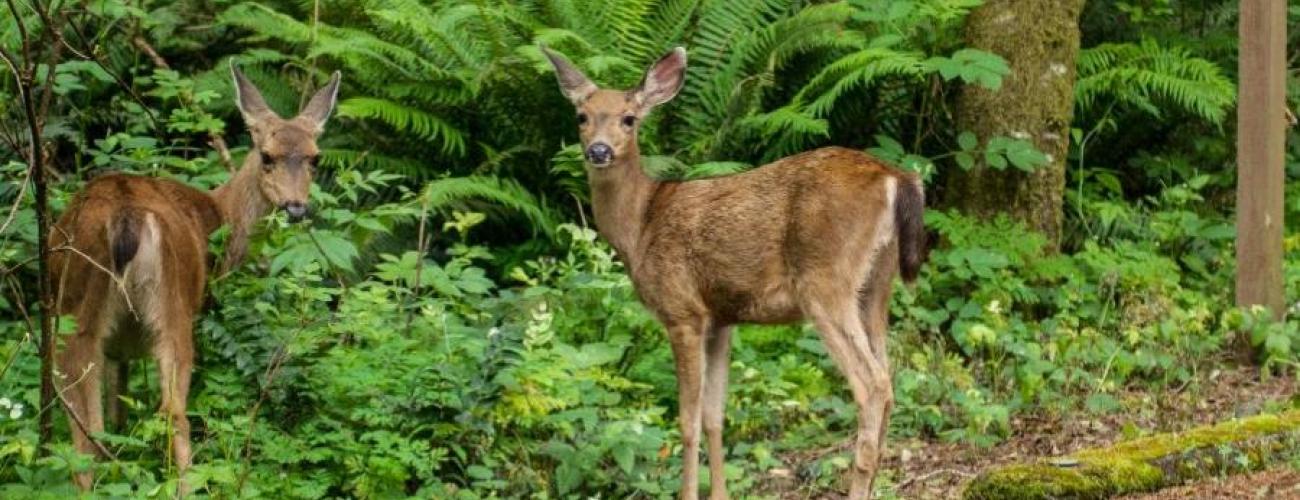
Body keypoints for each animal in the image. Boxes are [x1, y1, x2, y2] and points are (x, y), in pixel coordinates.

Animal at [49, 63, 340, 490]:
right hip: (173, 305)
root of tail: (125, 218)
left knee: (85, 427)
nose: (296, 207)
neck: (218, 216)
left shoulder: (119, 349)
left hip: (74, 310)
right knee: (172, 411)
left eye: (315, 158)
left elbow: (116, 404)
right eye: (266, 156)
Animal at [543, 44, 930, 496]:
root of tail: (896, 177)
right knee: (889, 379)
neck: (640, 225)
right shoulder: (722, 318)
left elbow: (688, 420)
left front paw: (689, 493)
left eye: (629, 118)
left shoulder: (684, 312)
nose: (599, 151)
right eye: (581, 116)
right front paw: (719, 493)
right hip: (876, 286)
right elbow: (715, 415)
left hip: (825, 282)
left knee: (872, 386)